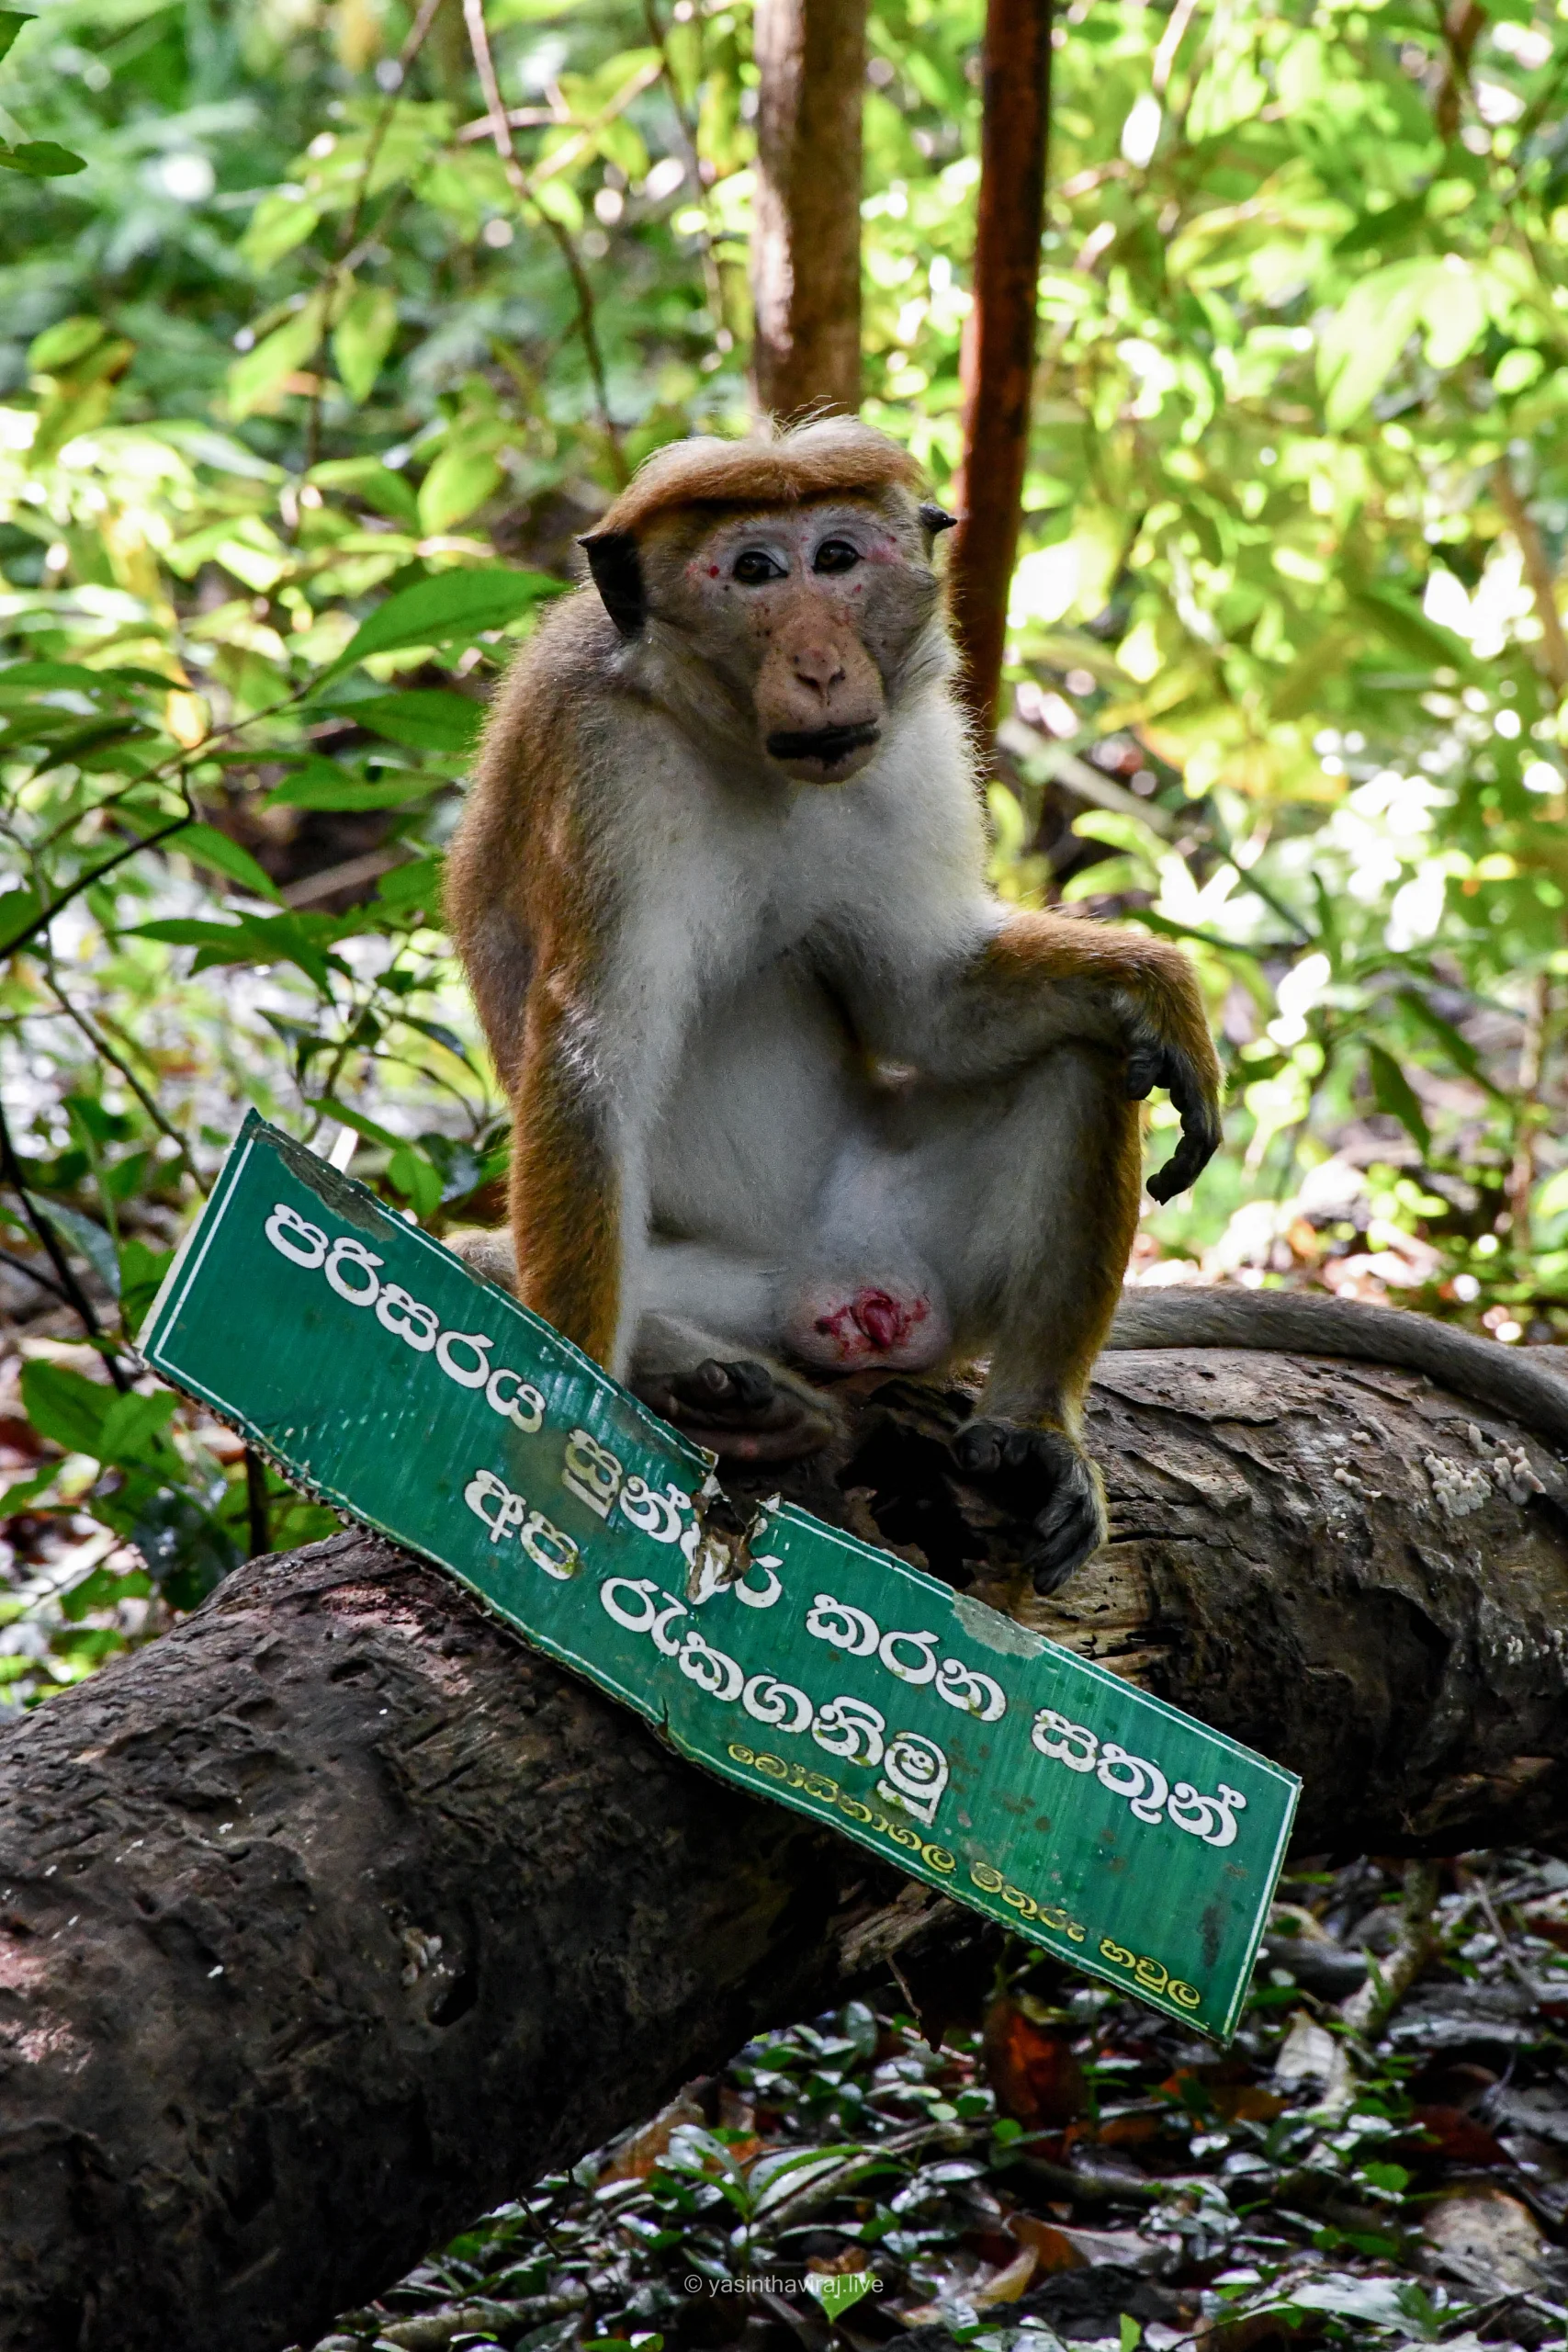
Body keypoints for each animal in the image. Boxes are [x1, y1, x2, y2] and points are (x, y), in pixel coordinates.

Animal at [446, 413, 1226, 1597]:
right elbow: (595, 1065)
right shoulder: (604, 764)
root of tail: (845, 1285)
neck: (737, 742)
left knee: (1089, 1056)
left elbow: (926, 997)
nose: (820, 664)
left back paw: (1031, 1436)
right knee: (494, 1263)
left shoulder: (915, 743)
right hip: (735, 1292)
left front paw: (1156, 988)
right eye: (756, 572)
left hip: (928, 1252)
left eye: (841, 558)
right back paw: (754, 1404)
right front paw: (569, 1428)